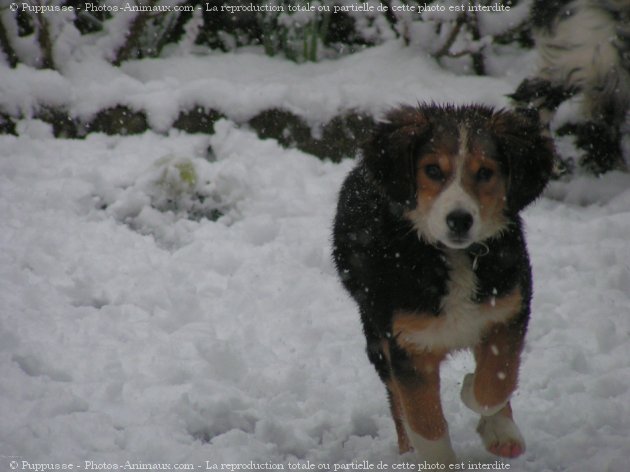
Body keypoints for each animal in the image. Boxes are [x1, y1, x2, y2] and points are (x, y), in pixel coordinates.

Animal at [334, 104, 556, 464]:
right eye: (433, 170)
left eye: (485, 173)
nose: (460, 220)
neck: (453, 257)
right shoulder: (407, 344)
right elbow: (425, 420)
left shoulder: (508, 312)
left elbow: (496, 381)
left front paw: (490, 418)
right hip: (375, 335)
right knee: (396, 402)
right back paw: (406, 452)